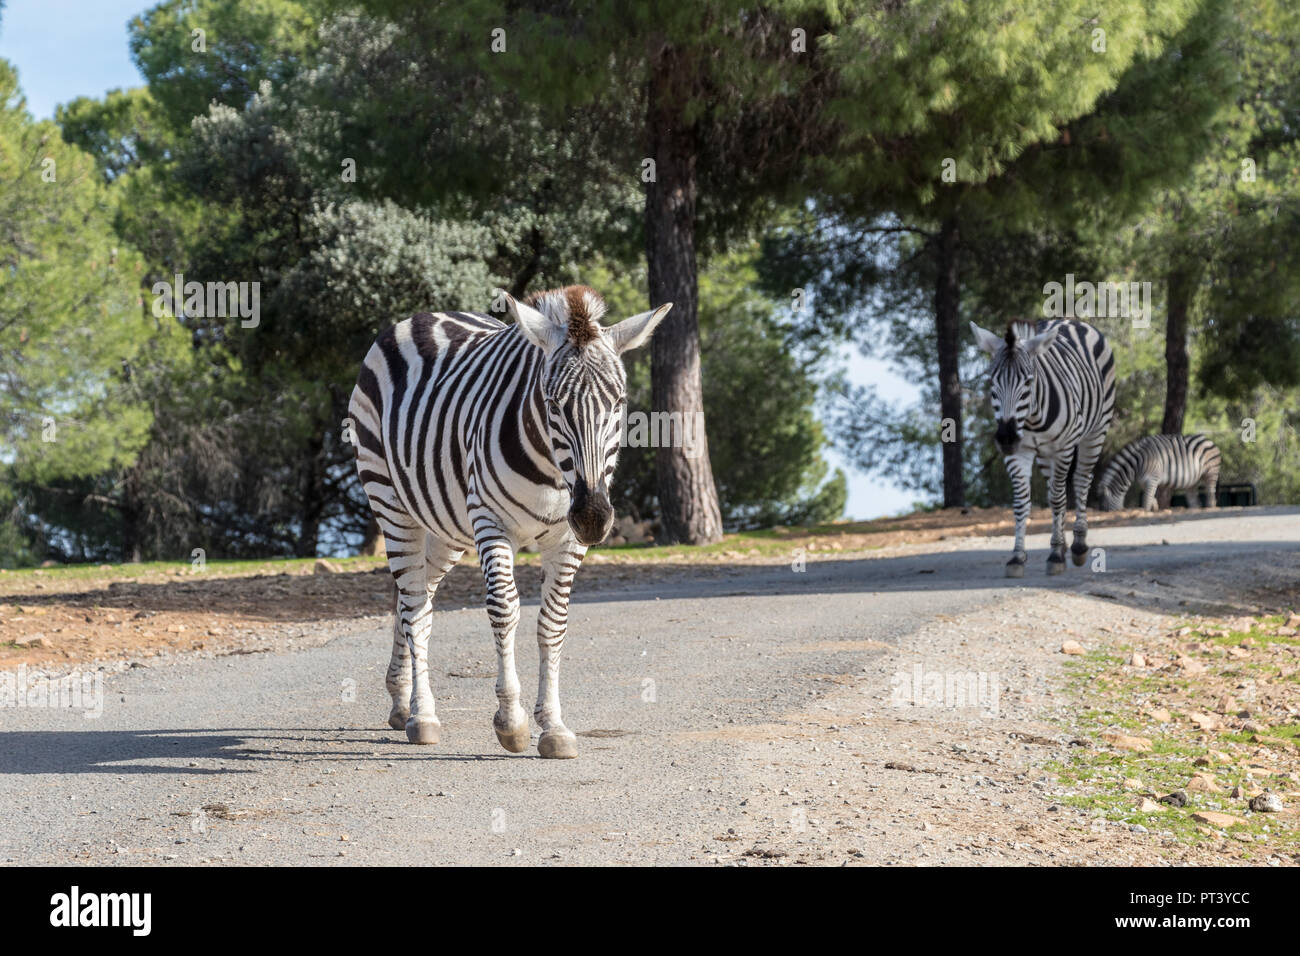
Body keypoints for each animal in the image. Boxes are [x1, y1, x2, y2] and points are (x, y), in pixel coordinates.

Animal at [348, 286, 671, 759]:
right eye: (553, 404)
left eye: (619, 403)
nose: (593, 517)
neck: (554, 473)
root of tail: (424, 316)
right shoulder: (490, 521)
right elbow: (504, 609)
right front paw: (512, 722)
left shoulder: (567, 540)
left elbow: (553, 623)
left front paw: (553, 726)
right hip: (391, 503)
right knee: (414, 607)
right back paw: (422, 716)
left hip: (445, 529)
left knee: (415, 602)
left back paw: (400, 701)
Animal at [971, 319, 1116, 577]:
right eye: (992, 382)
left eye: (1028, 381)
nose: (1006, 438)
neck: (1030, 419)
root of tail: (1070, 320)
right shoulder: (1019, 453)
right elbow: (1022, 502)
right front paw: (1017, 557)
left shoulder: (1063, 447)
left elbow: (1058, 499)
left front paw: (1056, 555)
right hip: (1046, 455)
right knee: (1054, 489)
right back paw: (1064, 543)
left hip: (1096, 431)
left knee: (1081, 480)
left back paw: (1078, 545)